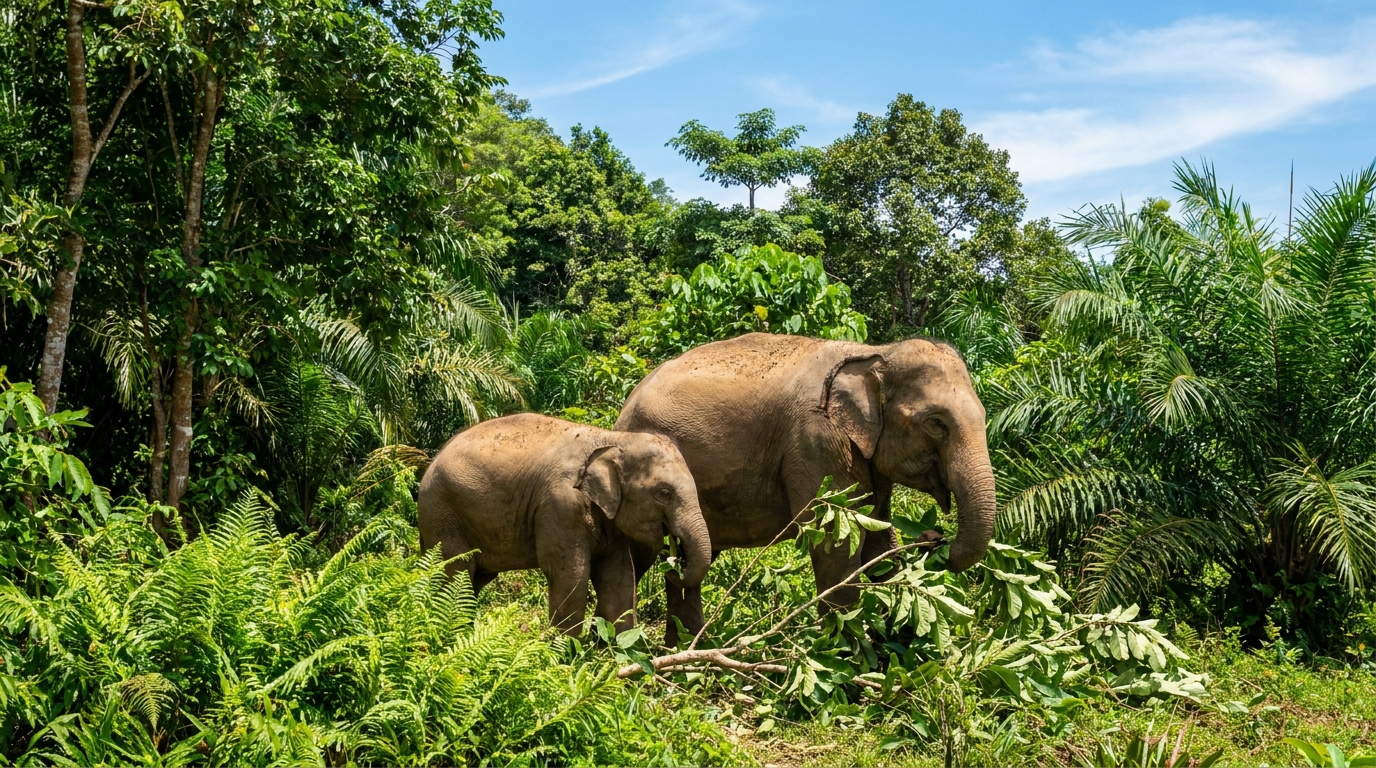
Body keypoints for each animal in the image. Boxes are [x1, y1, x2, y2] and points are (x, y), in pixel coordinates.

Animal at [418, 413, 711, 635]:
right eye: (664, 493)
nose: (676, 559)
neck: (614, 439)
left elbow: (618, 577)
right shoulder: (560, 506)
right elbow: (570, 575)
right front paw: (564, 659)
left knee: (473, 580)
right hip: (443, 515)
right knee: (456, 575)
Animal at [615, 332, 997, 645]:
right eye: (936, 423)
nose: (935, 539)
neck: (874, 353)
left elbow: (878, 538)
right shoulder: (816, 442)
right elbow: (836, 539)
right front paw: (844, 660)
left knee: (685, 564)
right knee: (635, 557)